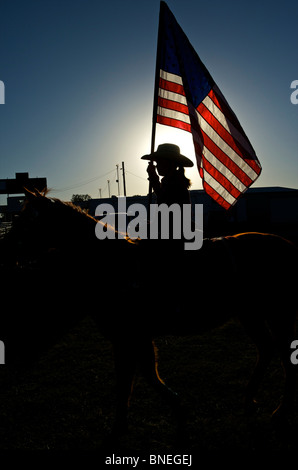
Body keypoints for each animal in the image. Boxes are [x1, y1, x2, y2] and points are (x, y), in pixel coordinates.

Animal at [0, 189, 296, 438]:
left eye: (25, 222)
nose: (6, 252)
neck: (112, 265)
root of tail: (285, 245)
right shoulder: (131, 339)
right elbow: (142, 376)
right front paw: (175, 410)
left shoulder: (130, 337)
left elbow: (131, 381)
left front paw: (124, 426)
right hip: (251, 314)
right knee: (266, 350)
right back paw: (249, 401)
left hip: (277, 314)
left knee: (286, 358)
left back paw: (280, 412)